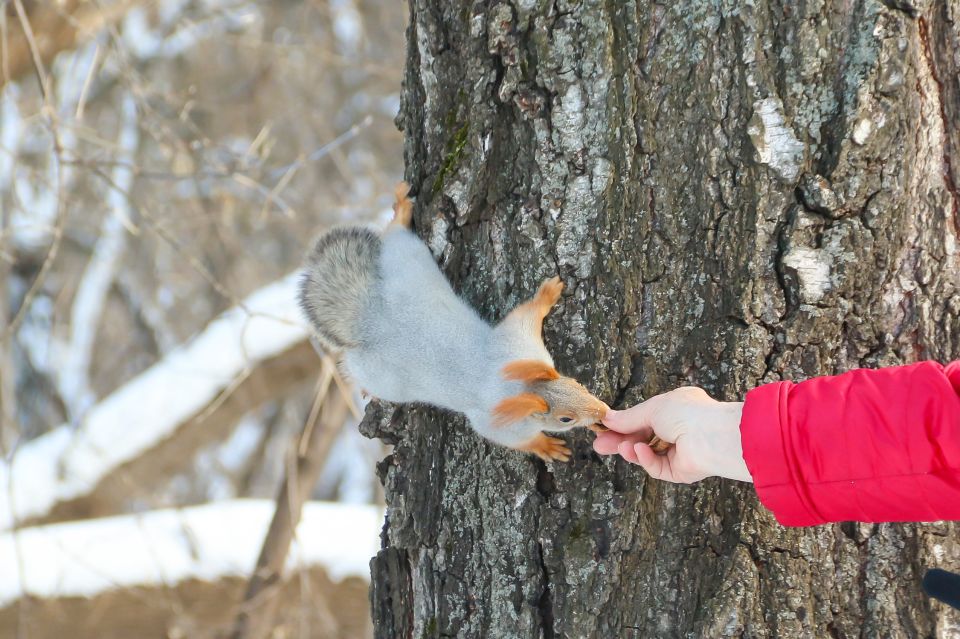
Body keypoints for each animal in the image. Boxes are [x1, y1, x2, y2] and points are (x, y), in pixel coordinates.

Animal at [296, 181, 624, 460]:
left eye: (577, 383)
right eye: (565, 418)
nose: (602, 411)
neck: (520, 387)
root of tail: (373, 318)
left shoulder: (519, 345)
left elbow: (525, 315)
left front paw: (547, 294)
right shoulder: (498, 421)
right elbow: (516, 439)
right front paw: (546, 446)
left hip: (409, 265)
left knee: (396, 239)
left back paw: (401, 212)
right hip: (382, 376)